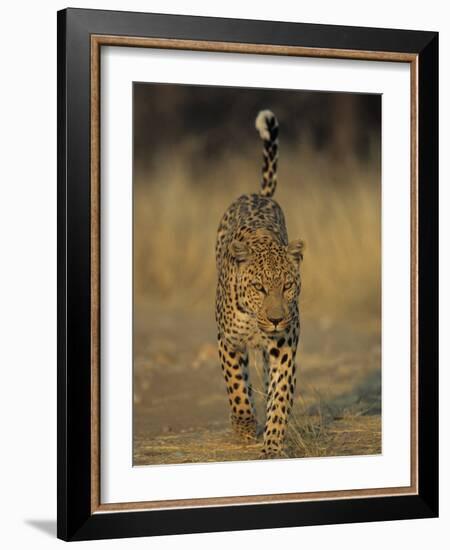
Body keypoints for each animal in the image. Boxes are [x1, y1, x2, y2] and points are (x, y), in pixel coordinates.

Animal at [215, 110, 306, 460]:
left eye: (288, 286)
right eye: (259, 288)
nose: (277, 319)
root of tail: (259, 195)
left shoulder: (284, 345)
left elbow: (280, 395)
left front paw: (273, 444)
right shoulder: (227, 340)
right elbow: (236, 386)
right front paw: (243, 426)